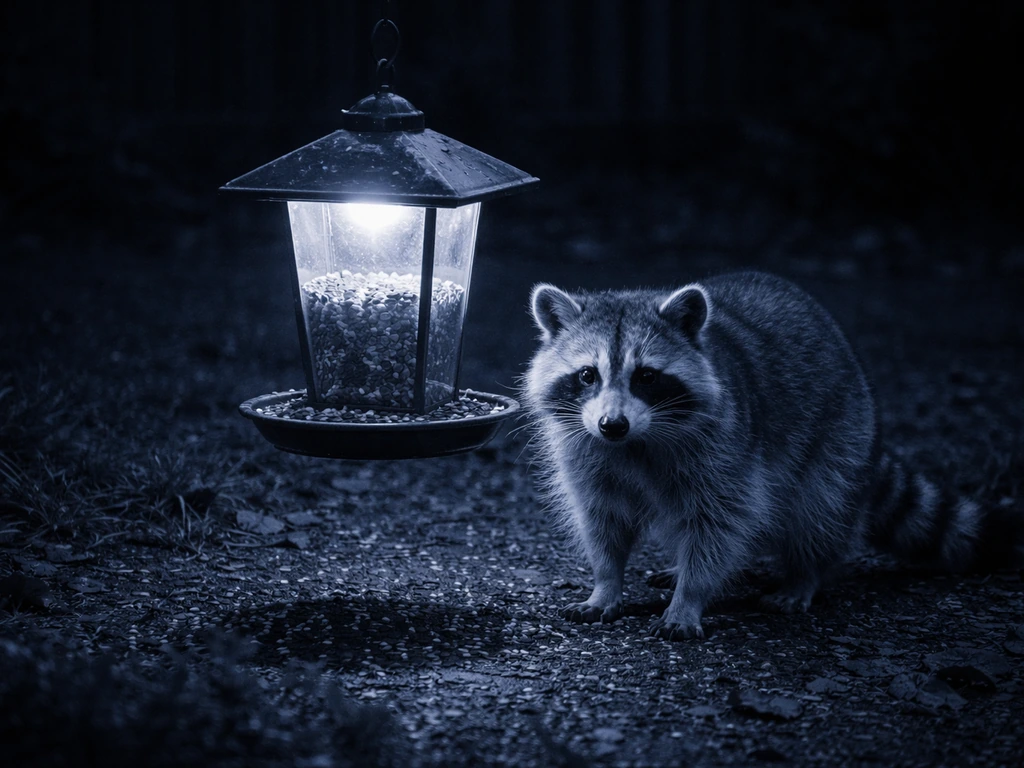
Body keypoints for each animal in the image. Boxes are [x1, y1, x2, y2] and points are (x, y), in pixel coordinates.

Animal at [524, 271, 1020, 640]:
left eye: (646, 376)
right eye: (587, 375)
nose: (613, 425)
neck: (636, 443)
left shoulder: (727, 451)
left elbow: (721, 521)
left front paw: (690, 597)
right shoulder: (586, 452)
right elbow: (602, 519)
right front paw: (606, 583)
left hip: (841, 436)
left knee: (818, 511)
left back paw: (803, 576)